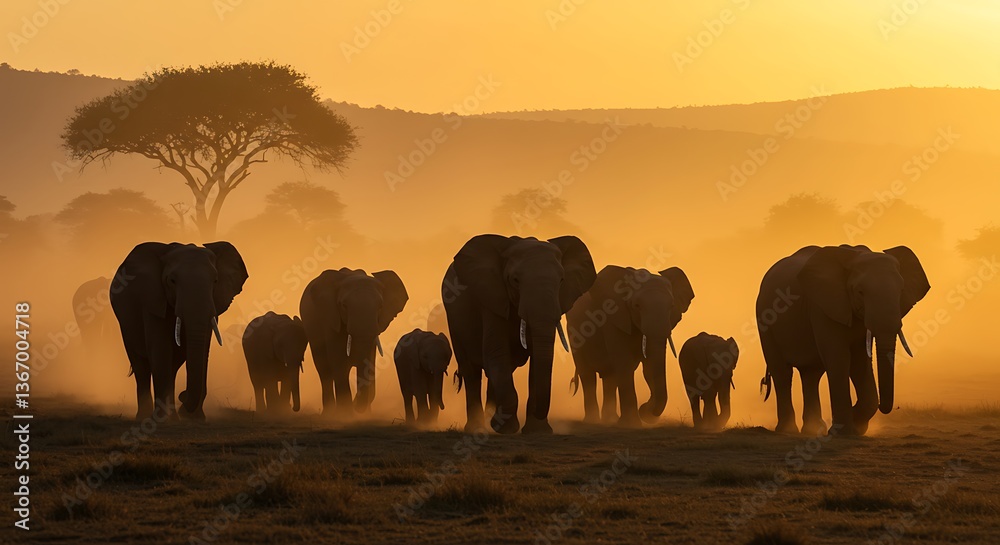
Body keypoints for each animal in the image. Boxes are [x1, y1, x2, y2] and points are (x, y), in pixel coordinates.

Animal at [110, 242, 248, 421]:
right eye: (172, 281)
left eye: (216, 281)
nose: (183, 395)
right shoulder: (153, 299)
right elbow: (160, 349)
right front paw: (162, 420)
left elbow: (203, 350)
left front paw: (195, 419)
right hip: (124, 323)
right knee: (141, 366)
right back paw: (145, 417)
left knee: (173, 366)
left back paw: (173, 416)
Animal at [299, 268, 408, 416]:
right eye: (344, 306)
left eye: (380, 306)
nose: (356, 405)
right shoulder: (331, 320)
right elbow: (338, 361)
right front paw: (345, 413)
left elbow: (369, 361)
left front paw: (364, 414)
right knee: (324, 370)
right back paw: (329, 413)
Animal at [442, 235, 597, 434]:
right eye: (515, 280)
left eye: (562, 280)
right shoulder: (492, 298)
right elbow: (496, 352)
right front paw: (507, 429)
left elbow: (536, 360)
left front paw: (537, 431)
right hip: (454, 322)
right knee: (471, 370)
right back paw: (478, 427)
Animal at [566, 265, 694, 427]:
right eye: (637, 306)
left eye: (672, 306)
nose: (645, 409)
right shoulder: (613, 318)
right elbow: (624, 362)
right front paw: (632, 423)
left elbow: (649, 366)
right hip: (573, 332)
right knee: (588, 374)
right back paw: (592, 421)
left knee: (610, 377)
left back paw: (610, 420)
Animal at [757, 245, 930, 436]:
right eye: (860, 292)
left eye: (901, 291)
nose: (884, 407)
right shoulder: (823, 307)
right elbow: (840, 358)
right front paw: (844, 430)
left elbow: (860, 362)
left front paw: (856, 426)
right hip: (765, 320)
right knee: (782, 373)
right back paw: (788, 430)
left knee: (811, 374)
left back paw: (813, 429)